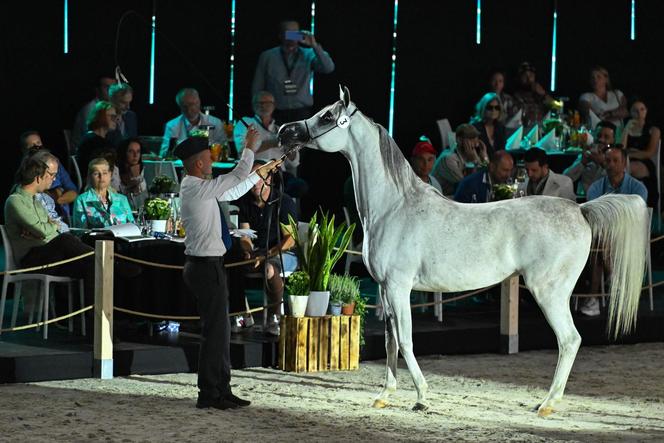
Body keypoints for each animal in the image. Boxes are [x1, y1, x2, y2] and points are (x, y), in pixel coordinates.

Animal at [278, 86, 648, 416]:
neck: (394, 207)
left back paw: (547, 404)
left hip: (549, 292)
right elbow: (390, 342)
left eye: (328, 116)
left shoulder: (399, 287)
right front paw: (385, 395)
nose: (285, 132)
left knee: (569, 340)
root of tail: (580, 210)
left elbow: (407, 341)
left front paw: (422, 397)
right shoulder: (384, 290)